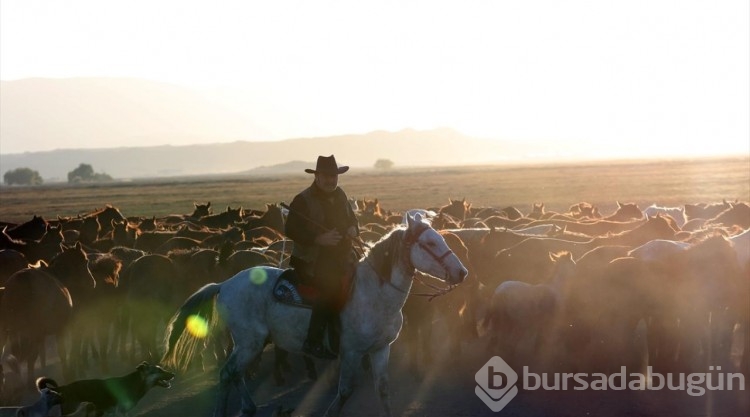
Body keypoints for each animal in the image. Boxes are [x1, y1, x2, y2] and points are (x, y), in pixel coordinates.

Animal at [35, 360, 175, 414]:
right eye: (159, 371)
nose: (173, 374)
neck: (136, 382)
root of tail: (64, 387)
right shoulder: (117, 412)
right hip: (71, 408)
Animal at [164, 214, 468, 416]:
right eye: (430, 243)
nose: (462, 272)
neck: (374, 294)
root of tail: (224, 284)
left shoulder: (380, 349)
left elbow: (383, 392)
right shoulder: (352, 352)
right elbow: (344, 392)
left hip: (251, 343)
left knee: (235, 373)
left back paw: (248, 407)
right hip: (250, 342)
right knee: (227, 373)